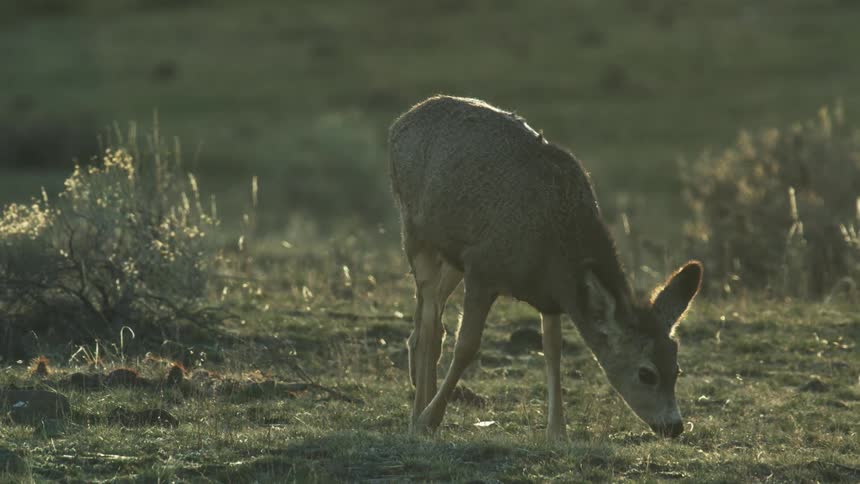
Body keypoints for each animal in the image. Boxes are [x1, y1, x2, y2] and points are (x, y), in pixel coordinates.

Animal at [388, 95, 703, 441]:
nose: (674, 426)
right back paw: (418, 411)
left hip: (452, 254)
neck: (552, 247)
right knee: (430, 317)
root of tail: (403, 120)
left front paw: (557, 432)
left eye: (677, 368)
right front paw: (428, 420)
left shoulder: (550, 296)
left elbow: (553, 351)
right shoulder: (483, 269)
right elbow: (468, 346)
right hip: (414, 232)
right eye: (646, 373)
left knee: (430, 313)